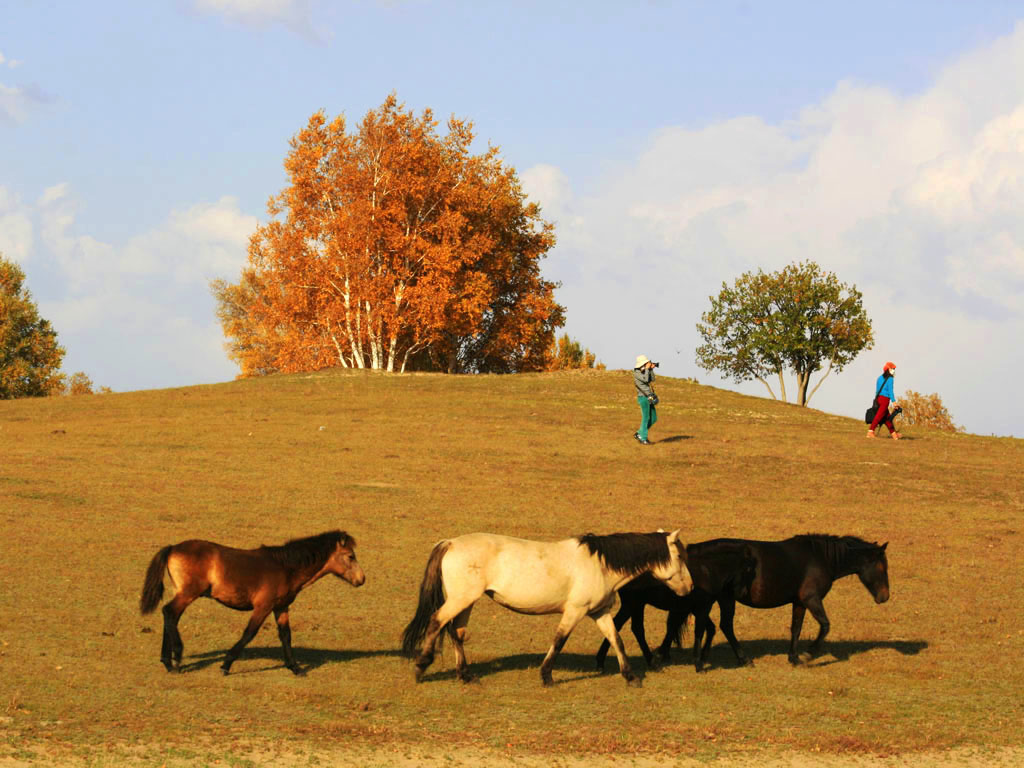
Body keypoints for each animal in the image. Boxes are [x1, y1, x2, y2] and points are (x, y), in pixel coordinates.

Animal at [140, 532, 364, 675]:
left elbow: (286, 636)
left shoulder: (280, 607)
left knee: (170, 617)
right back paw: (176, 657)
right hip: (188, 593)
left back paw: (168, 662)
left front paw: (295, 668)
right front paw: (226, 665)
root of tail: (173, 548)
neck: (286, 567)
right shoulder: (263, 607)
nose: (362, 579)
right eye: (350, 556)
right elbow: (249, 633)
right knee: (169, 613)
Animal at [403, 532, 692, 688]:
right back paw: (420, 667)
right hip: (461, 599)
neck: (599, 564)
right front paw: (546, 676)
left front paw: (631, 677)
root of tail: (451, 542)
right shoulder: (575, 611)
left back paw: (465, 675)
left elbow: (616, 640)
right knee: (436, 622)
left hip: (467, 600)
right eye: (679, 556)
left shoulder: (599, 612)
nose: (689, 587)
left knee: (456, 632)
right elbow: (559, 640)